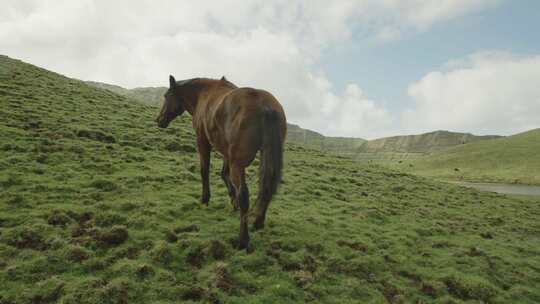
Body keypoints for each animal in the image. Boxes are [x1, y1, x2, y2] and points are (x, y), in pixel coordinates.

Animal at [156, 75, 286, 249]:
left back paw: (243, 240)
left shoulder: (203, 142)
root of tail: (265, 106)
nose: (159, 120)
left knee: (244, 195)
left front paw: (205, 199)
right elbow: (224, 174)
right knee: (267, 188)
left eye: (167, 96)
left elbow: (205, 171)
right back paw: (258, 222)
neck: (203, 94)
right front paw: (232, 200)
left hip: (238, 163)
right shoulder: (227, 152)